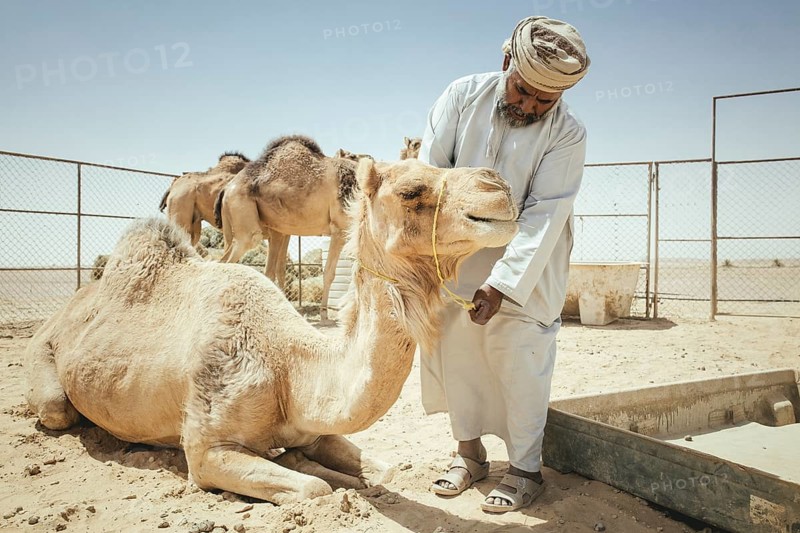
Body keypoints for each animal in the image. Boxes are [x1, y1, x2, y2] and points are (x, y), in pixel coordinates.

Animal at [25, 157, 517, 505]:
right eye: (412, 190)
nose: (499, 186)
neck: (288, 368)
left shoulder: (316, 427)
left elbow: (383, 469)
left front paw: (324, 466)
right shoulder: (206, 449)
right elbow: (314, 489)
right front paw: (318, 476)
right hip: (46, 366)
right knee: (57, 410)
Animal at [215, 135, 359, 323]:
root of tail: (226, 189)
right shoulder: (340, 228)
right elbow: (330, 272)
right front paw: (324, 315)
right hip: (243, 215)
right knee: (236, 254)